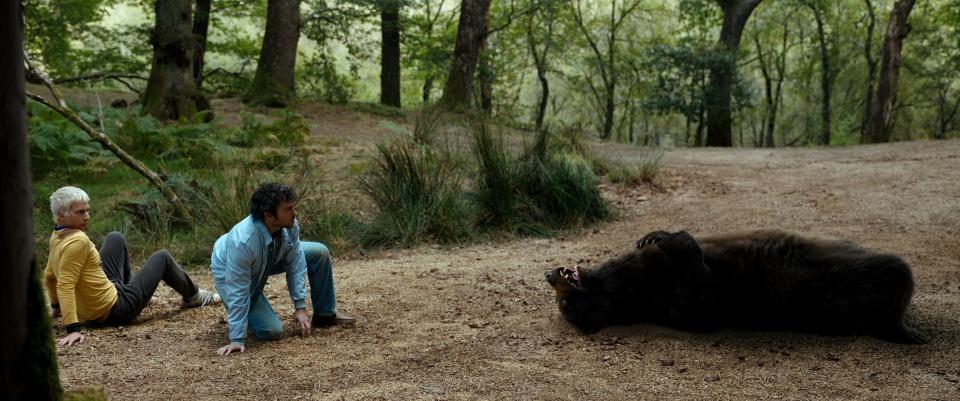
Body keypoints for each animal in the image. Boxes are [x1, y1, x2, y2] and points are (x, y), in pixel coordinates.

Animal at [548, 228, 928, 344]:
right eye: (566, 307)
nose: (549, 276)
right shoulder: (692, 297)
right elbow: (695, 266)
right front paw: (669, 237)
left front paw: (654, 235)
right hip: (891, 269)